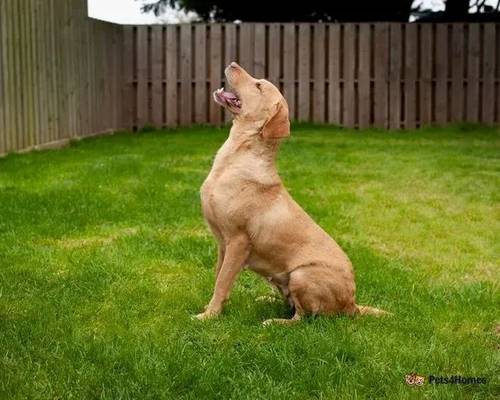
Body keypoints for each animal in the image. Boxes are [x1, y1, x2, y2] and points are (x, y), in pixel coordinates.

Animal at [196, 62, 386, 324]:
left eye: (258, 85)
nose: (233, 63)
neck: (236, 156)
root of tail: (351, 304)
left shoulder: (238, 241)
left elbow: (223, 282)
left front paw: (209, 316)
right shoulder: (222, 244)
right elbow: (218, 276)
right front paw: (211, 308)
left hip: (300, 275)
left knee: (302, 318)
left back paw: (273, 322)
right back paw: (266, 300)